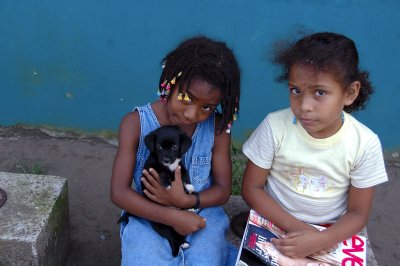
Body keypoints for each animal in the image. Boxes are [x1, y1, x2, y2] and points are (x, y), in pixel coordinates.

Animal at [143, 125, 195, 256]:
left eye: (174, 147)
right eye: (159, 147)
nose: (166, 160)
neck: (170, 166)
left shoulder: (180, 166)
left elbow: (185, 172)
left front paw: (189, 185)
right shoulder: (152, 167)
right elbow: (162, 171)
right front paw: (166, 184)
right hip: (162, 225)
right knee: (171, 236)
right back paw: (181, 244)